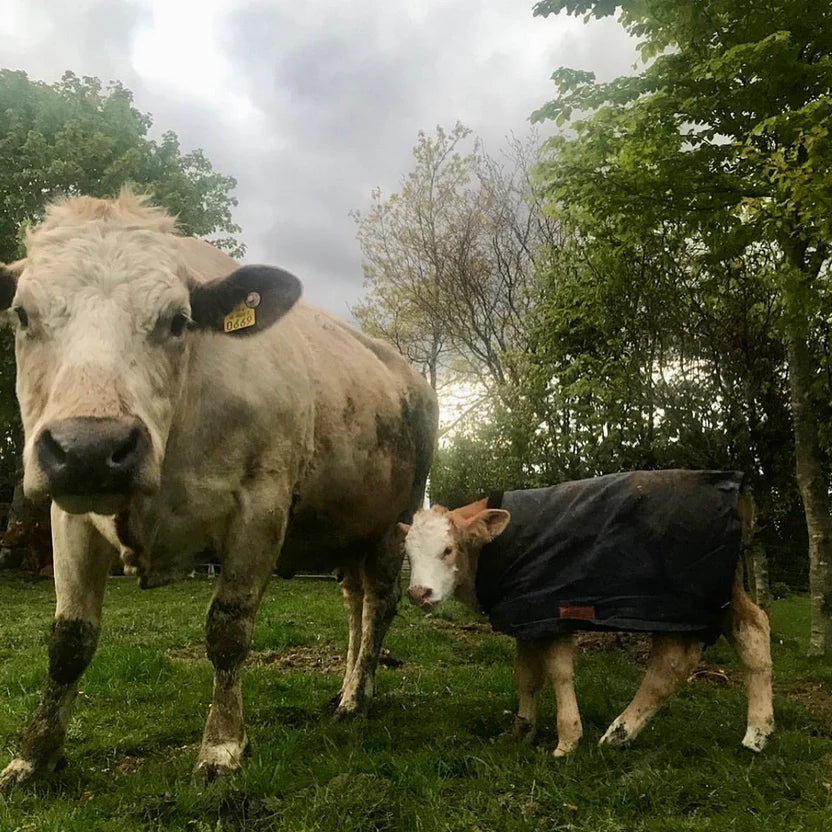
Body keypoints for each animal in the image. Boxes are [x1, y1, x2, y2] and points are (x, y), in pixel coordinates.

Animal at [0, 192, 437, 785]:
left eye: (178, 320)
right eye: (22, 314)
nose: (90, 447)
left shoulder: (261, 506)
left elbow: (228, 631)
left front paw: (222, 746)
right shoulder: (70, 515)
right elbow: (69, 639)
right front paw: (34, 756)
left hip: (395, 520)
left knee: (380, 603)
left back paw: (356, 698)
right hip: (348, 527)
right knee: (354, 600)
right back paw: (345, 686)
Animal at [402, 471, 774, 756]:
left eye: (448, 549)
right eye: (408, 552)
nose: (419, 593)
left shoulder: (550, 612)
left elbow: (559, 673)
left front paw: (567, 741)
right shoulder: (526, 616)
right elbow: (526, 676)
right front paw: (521, 732)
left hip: (675, 604)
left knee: (672, 662)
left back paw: (619, 732)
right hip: (722, 591)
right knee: (753, 631)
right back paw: (757, 733)